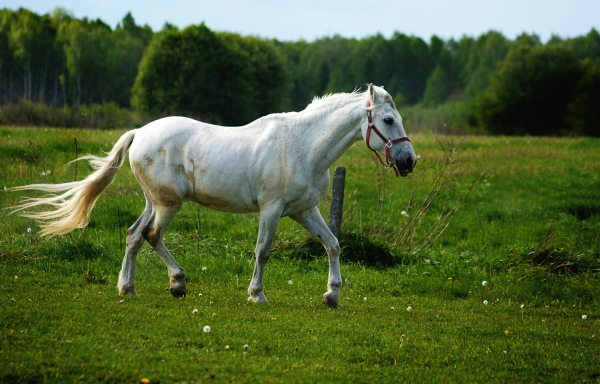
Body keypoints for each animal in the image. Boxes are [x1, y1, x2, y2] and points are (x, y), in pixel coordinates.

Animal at [12, 85, 418, 308]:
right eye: (387, 120)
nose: (408, 161)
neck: (303, 145)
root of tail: (139, 132)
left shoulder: (304, 210)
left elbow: (332, 244)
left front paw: (332, 296)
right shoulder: (271, 209)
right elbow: (262, 251)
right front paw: (257, 294)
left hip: (154, 202)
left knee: (133, 236)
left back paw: (128, 288)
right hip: (168, 204)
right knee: (151, 236)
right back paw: (177, 283)